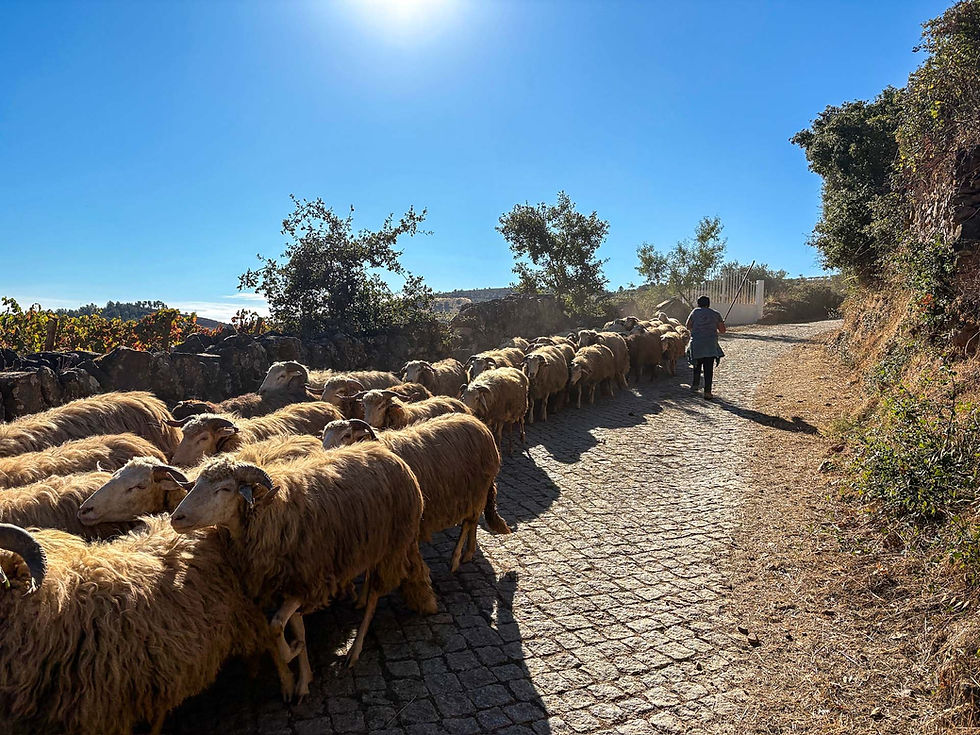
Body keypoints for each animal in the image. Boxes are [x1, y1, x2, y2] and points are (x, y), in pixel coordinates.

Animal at [169, 447, 438, 691]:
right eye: (195, 485)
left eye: (225, 489)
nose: (176, 518)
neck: (270, 513)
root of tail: (393, 457)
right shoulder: (291, 583)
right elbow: (295, 626)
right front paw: (303, 679)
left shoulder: (310, 581)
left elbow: (276, 625)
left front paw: (294, 650)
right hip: (373, 545)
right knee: (371, 580)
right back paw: (360, 601)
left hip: (394, 543)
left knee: (375, 597)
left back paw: (355, 649)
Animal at [321, 414, 511, 571]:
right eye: (324, 437)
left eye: (346, 435)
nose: (326, 457)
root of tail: (481, 425)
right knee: (473, 521)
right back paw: (469, 552)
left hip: (477, 489)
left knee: (468, 522)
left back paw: (456, 558)